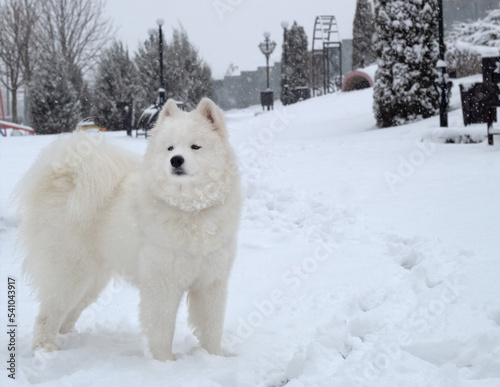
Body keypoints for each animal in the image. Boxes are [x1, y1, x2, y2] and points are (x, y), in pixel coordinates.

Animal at [16, 99, 242, 360]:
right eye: (170, 148)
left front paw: (215, 358)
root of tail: (63, 177)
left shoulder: (211, 282)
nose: (176, 160)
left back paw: (67, 340)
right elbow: (162, 328)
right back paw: (46, 351)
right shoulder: (162, 283)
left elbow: (212, 326)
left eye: (195, 147)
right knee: (46, 317)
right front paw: (164, 362)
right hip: (70, 275)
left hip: (92, 281)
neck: (189, 209)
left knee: (67, 315)